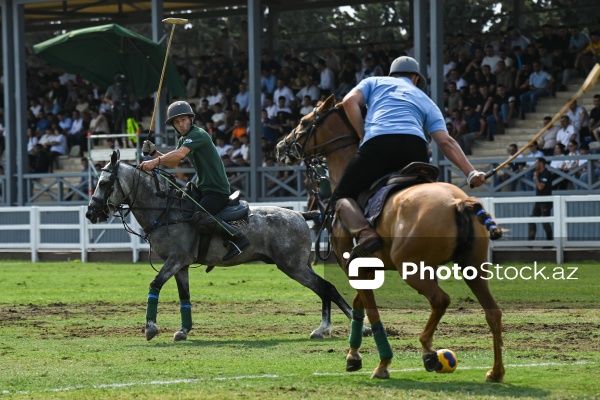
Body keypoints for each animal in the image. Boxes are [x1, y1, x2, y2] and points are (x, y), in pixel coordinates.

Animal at [86, 150, 354, 340]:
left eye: (104, 183)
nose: (90, 213)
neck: (165, 211)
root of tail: (301, 214)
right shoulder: (181, 265)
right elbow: (184, 296)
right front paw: (184, 330)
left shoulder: (176, 259)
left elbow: (155, 284)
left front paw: (150, 327)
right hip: (296, 265)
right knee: (324, 289)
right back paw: (325, 329)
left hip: (293, 265)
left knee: (326, 287)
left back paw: (351, 324)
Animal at [278, 95, 506, 382]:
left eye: (304, 121)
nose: (280, 146)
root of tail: (459, 201)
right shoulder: (368, 268)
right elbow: (359, 304)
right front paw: (353, 356)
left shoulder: (353, 266)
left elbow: (371, 311)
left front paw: (381, 362)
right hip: (472, 266)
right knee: (493, 312)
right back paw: (495, 371)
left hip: (412, 267)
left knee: (440, 300)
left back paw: (428, 351)